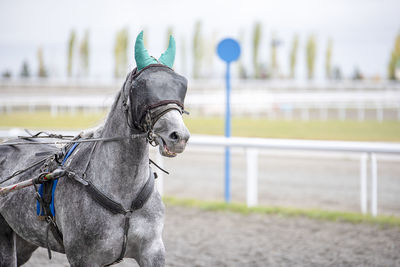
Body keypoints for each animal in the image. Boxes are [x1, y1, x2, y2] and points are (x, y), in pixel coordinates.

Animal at [0, 31, 190, 267]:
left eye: (181, 84)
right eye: (141, 86)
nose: (179, 136)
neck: (124, 200)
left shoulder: (152, 249)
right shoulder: (84, 257)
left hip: (24, 239)